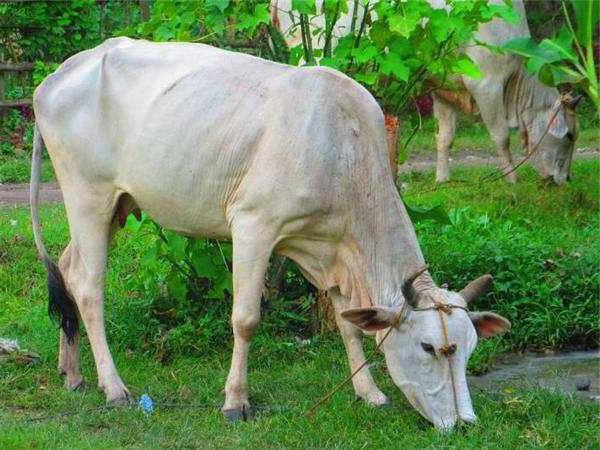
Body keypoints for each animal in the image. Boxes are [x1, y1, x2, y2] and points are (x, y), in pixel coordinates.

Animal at [30, 38, 508, 428]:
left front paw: (369, 392)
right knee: (89, 286)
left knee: (68, 267)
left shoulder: (327, 248)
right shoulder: (254, 225)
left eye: (469, 349)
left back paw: (72, 373)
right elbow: (246, 319)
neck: (343, 150)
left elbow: (347, 323)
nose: (464, 423)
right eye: (429, 347)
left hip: (117, 205)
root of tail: (58, 75)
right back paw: (114, 388)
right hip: (88, 195)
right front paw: (235, 402)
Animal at [272, 0, 580, 184]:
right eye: (569, 135)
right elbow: (501, 136)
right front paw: (512, 180)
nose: (565, 179)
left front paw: (442, 179)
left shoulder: (444, 89)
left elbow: (445, 138)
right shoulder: (486, 83)